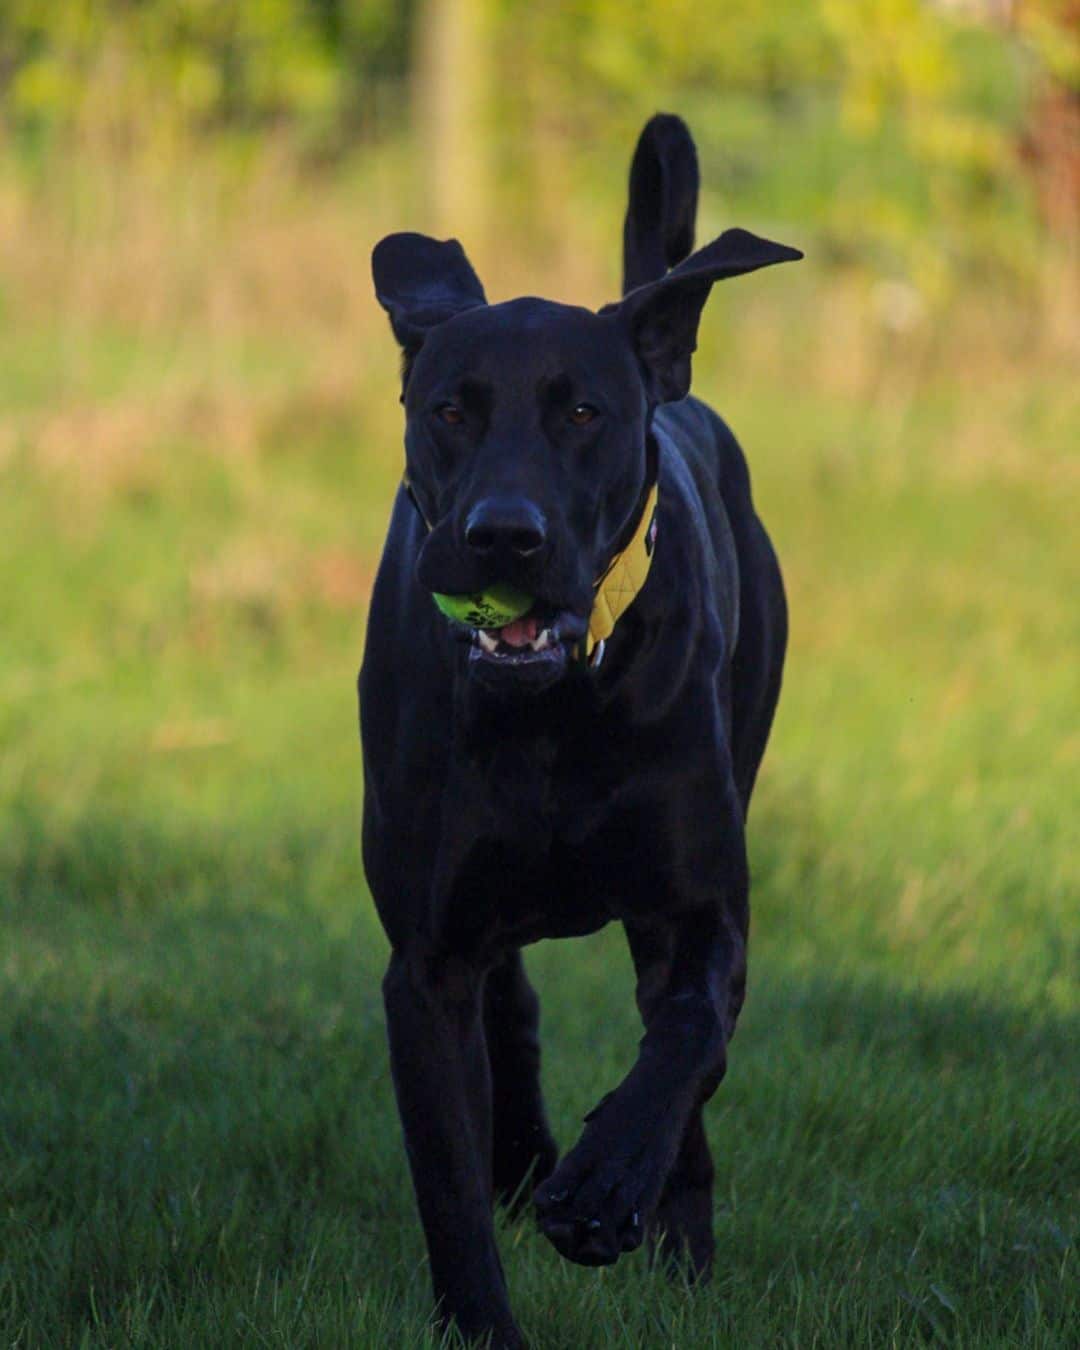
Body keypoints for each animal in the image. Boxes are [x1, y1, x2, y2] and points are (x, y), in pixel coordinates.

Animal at [361, 118, 799, 1350]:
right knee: (513, 1006)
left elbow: (688, 1038)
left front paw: (606, 1187)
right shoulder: (426, 962)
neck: (554, 708)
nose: (503, 536)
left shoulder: (702, 911)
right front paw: (487, 1309)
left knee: (679, 1060)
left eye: (584, 413)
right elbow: (447, 1177)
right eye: (448, 409)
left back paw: (675, 1245)